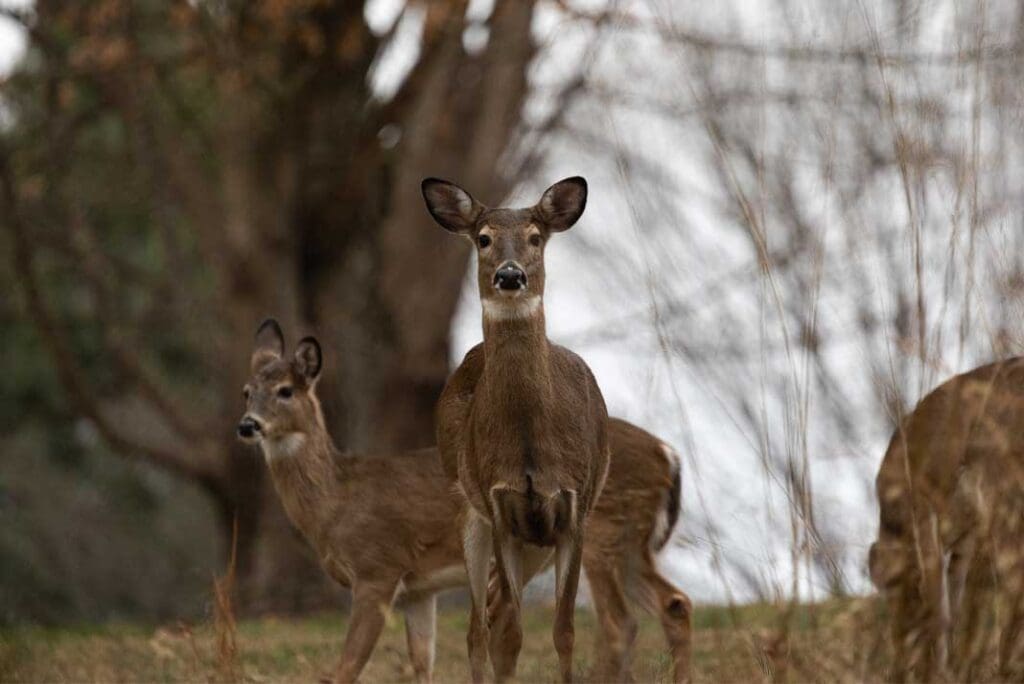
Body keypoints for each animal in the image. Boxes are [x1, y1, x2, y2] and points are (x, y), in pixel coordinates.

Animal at [238, 319, 691, 683]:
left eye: (285, 391)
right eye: (246, 391)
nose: (247, 425)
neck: (336, 504)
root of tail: (667, 454)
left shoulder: (378, 568)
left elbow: (345, 669)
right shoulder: (418, 590)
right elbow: (422, 665)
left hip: (600, 533)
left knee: (619, 621)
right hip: (629, 544)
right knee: (672, 602)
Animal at [422, 176, 612, 683]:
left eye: (535, 237)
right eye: (483, 238)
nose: (510, 276)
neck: (530, 446)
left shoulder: (574, 510)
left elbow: (564, 631)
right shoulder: (500, 508)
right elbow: (509, 634)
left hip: (537, 544)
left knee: (490, 608)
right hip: (469, 511)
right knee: (480, 625)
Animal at [869, 357, 1024, 682]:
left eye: (899, 611)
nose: (897, 669)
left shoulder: (926, 515)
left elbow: (939, 607)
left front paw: (937, 671)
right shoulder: (968, 538)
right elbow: (958, 600)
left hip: (1005, 502)